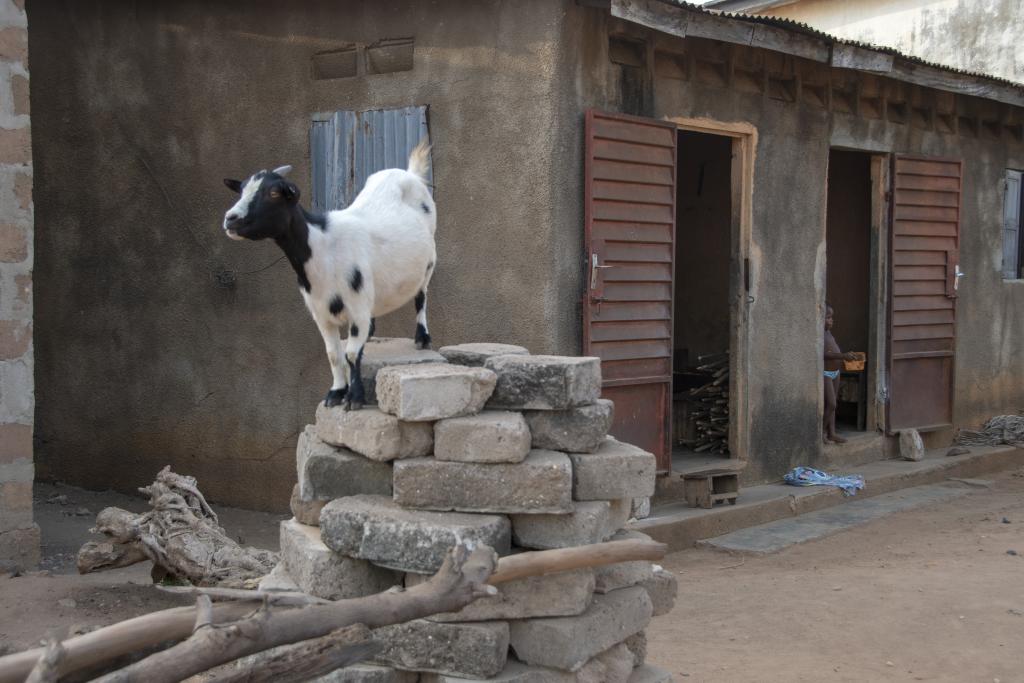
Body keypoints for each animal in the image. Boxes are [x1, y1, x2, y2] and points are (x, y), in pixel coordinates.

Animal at [222, 141, 434, 409]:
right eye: (241, 191)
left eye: (274, 193)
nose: (230, 219)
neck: (323, 247)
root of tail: (409, 173)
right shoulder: (321, 313)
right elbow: (334, 354)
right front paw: (336, 392)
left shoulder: (356, 307)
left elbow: (351, 353)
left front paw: (355, 397)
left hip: (429, 262)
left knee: (421, 296)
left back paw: (422, 338)